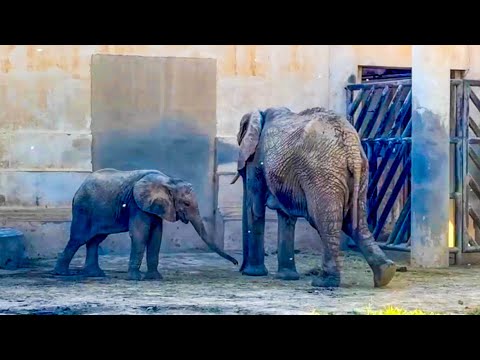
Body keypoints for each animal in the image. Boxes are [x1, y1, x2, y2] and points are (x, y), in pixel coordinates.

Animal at [53, 169, 238, 282]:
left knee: (96, 239)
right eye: (185, 203)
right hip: (83, 208)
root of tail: (79, 188)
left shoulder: (155, 208)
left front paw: (155, 278)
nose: (236, 263)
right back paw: (62, 273)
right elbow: (140, 234)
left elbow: (156, 236)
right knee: (78, 238)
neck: (168, 181)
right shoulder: (137, 204)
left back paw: (96, 274)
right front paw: (136, 278)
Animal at [231, 106, 396, 286]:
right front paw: (287, 277)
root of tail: (350, 144)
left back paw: (324, 281)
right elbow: (285, 215)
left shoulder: (257, 159)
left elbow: (255, 208)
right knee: (356, 222)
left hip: (322, 174)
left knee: (324, 221)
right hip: (360, 171)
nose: (239, 266)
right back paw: (385, 274)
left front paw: (253, 273)